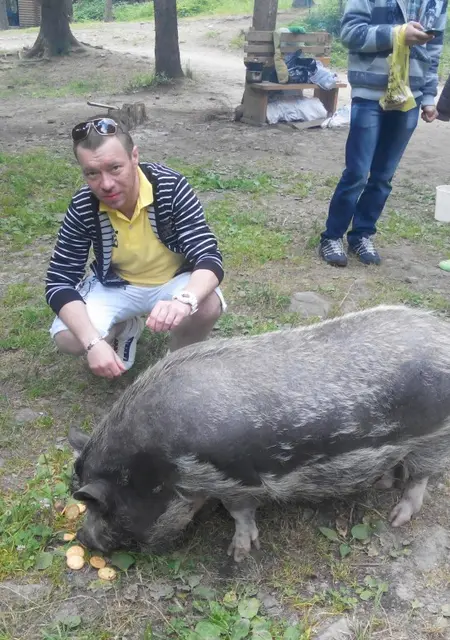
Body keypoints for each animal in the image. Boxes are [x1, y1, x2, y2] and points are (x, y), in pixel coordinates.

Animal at [69, 305, 450, 562]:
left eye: (102, 505)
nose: (84, 538)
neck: (159, 464)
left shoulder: (235, 481)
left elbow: (241, 514)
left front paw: (238, 554)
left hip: (435, 436)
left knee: (420, 478)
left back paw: (397, 518)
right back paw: (383, 483)